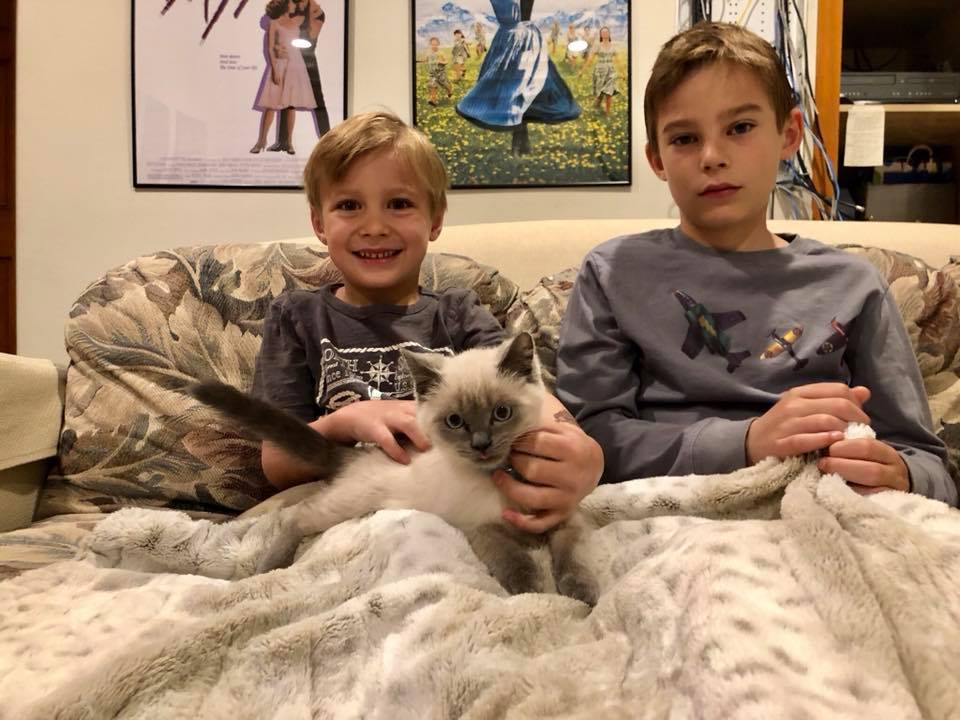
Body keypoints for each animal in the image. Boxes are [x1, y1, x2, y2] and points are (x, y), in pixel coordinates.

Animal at [189, 332, 598, 605]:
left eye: (501, 413)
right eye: (455, 421)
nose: (481, 444)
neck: (501, 478)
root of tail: (357, 454)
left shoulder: (563, 518)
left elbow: (572, 559)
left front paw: (583, 593)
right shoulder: (481, 527)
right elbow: (515, 561)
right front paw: (533, 591)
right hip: (349, 505)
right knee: (297, 517)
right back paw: (270, 567)